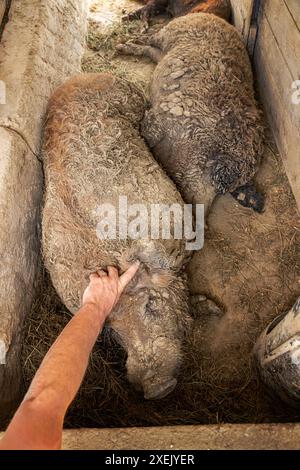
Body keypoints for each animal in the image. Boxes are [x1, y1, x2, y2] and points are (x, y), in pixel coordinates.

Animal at [41, 72, 192, 400]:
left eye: (151, 305)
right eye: (114, 330)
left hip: (129, 97)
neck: (109, 252)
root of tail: (78, 78)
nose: (157, 388)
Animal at [117, 13, 264, 214]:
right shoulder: (163, 117)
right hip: (169, 33)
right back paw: (121, 43)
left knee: (150, 49)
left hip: (165, 48)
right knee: (150, 39)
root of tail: (212, 17)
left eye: (223, 189)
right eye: (219, 183)